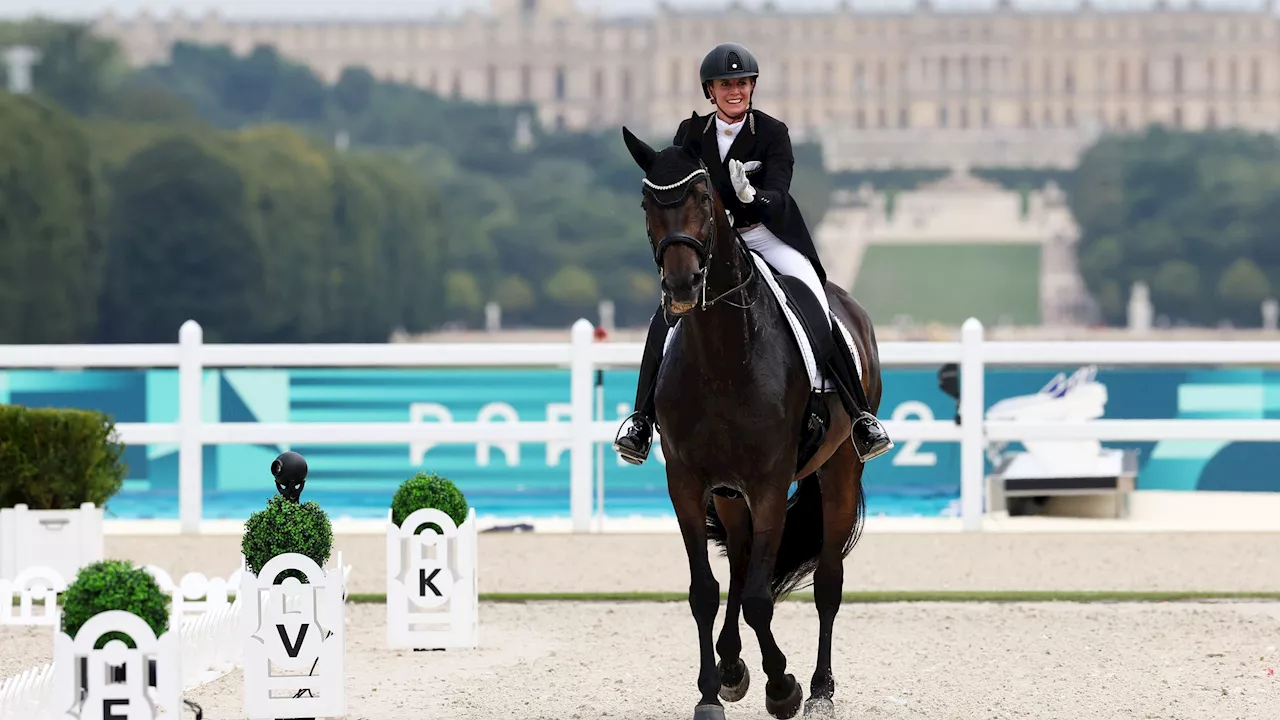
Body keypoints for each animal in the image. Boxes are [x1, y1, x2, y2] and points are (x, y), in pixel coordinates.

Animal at [619, 124, 880, 717]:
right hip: (728, 494)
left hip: (840, 470)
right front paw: (712, 690)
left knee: (827, 580)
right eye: (647, 203)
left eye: (701, 197)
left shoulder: (768, 483)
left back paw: (821, 689)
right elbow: (706, 591)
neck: (722, 356)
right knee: (738, 566)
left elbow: (762, 597)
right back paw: (733, 666)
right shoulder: (688, 482)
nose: (683, 287)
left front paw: (783, 687)